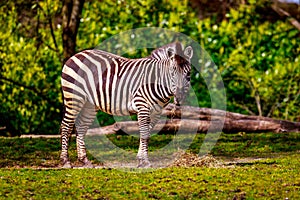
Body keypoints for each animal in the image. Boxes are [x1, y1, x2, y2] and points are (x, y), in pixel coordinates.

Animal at [59, 41, 193, 168]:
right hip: (74, 97)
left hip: (89, 104)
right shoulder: (142, 106)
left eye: (188, 74)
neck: (157, 80)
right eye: (172, 73)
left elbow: (147, 133)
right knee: (66, 126)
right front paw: (145, 161)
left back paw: (84, 161)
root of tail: (76, 55)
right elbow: (144, 133)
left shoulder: (156, 111)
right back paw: (65, 161)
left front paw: (140, 159)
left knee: (81, 127)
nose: (179, 98)